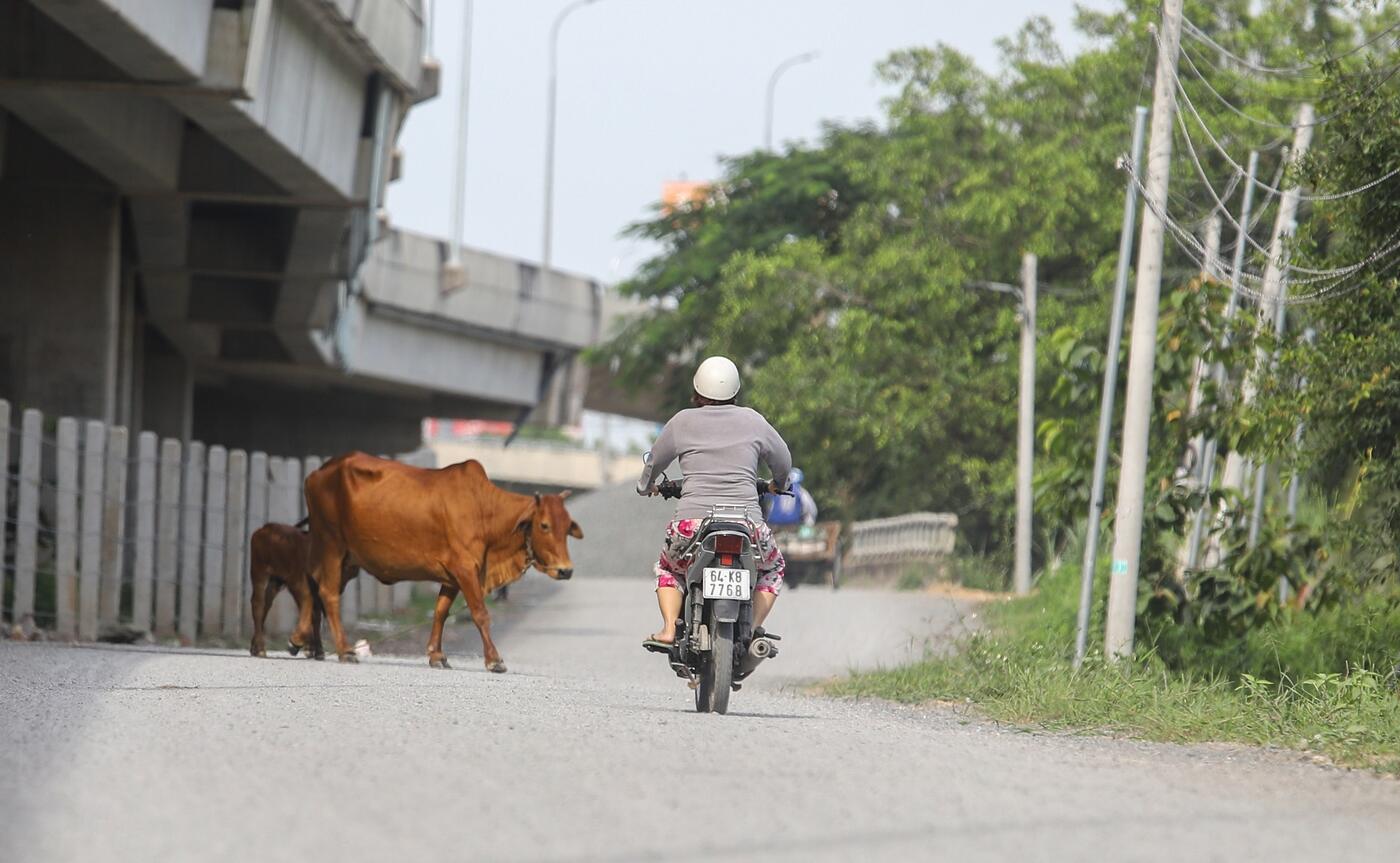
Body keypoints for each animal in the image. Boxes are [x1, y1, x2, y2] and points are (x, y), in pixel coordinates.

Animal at [303, 453, 582, 669]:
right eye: (544, 525)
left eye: (568, 526)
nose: (565, 570)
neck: (485, 511)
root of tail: (317, 473)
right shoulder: (465, 569)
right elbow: (480, 613)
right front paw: (494, 659)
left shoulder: (452, 575)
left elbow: (441, 611)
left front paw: (436, 655)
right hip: (332, 546)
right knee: (328, 594)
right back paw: (343, 650)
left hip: (346, 560)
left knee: (315, 589)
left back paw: (312, 647)